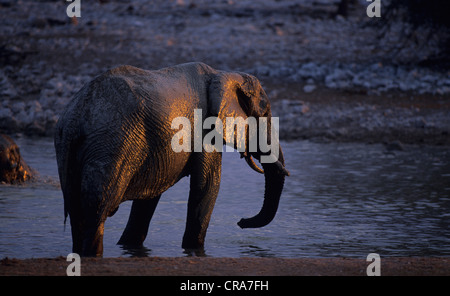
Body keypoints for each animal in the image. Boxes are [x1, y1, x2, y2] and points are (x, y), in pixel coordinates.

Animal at [55, 62, 288, 256]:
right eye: (265, 114)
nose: (240, 221)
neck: (222, 74)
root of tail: (75, 119)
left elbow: (150, 195)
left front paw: (129, 247)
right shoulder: (205, 127)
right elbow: (207, 185)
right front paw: (194, 251)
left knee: (76, 211)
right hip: (111, 145)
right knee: (97, 209)